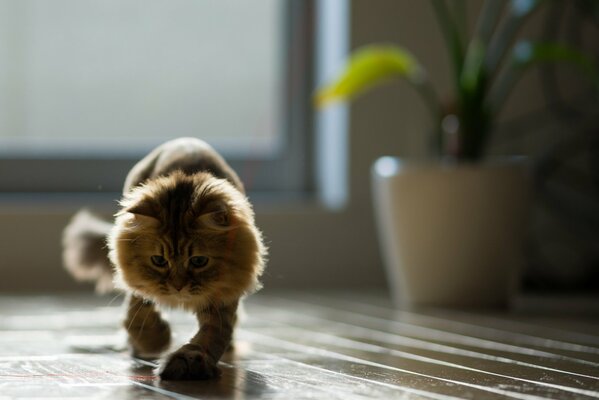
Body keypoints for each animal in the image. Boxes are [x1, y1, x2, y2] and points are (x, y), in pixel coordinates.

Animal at [62, 139, 266, 380]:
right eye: (159, 261)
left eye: (199, 261)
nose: (178, 287)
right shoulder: (139, 285)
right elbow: (138, 313)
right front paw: (155, 340)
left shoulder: (223, 296)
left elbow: (212, 334)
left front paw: (189, 362)